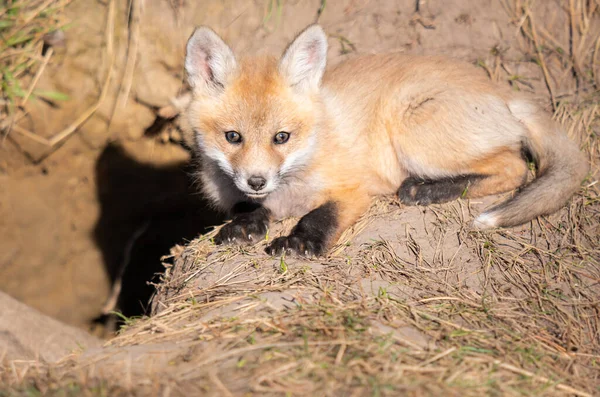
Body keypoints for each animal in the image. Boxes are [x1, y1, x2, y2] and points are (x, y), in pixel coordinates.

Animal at [180, 24, 588, 256]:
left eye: (282, 137)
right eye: (233, 137)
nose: (256, 180)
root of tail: (501, 90)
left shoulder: (354, 188)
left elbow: (320, 215)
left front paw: (299, 243)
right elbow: (253, 209)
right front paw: (246, 224)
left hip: (411, 131)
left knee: (515, 167)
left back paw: (427, 189)